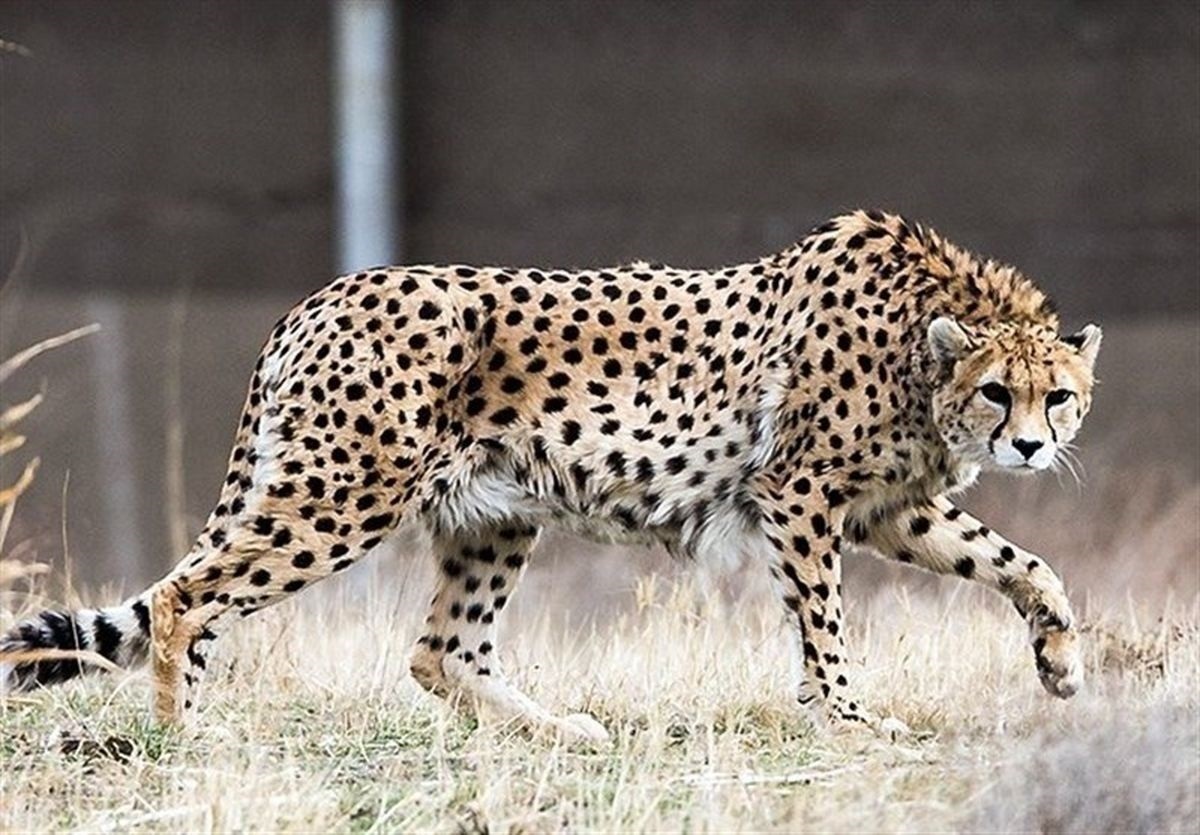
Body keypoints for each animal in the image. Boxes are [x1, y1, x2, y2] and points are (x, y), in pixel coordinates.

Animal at [0, 212, 1099, 739]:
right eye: (997, 392)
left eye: (1060, 395)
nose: (1031, 446)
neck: (927, 341)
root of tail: (319, 295)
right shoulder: (799, 497)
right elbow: (826, 624)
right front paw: (846, 719)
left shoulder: (892, 509)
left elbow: (1026, 564)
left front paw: (1060, 665)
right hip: (340, 497)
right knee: (185, 597)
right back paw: (184, 738)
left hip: (492, 512)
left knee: (440, 653)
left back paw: (563, 731)